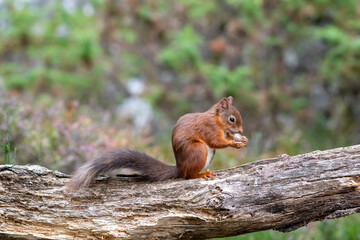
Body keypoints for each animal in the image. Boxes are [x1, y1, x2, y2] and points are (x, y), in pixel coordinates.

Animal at [66, 96, 248, 192]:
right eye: (232, 118)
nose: (241, 129)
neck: (217, 120)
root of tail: (179, 167)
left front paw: (242, 139)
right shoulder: (208, 128)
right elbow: (216, 141)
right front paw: (235, 144)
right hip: (198, 150)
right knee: (187, 176)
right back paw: (200, 174)